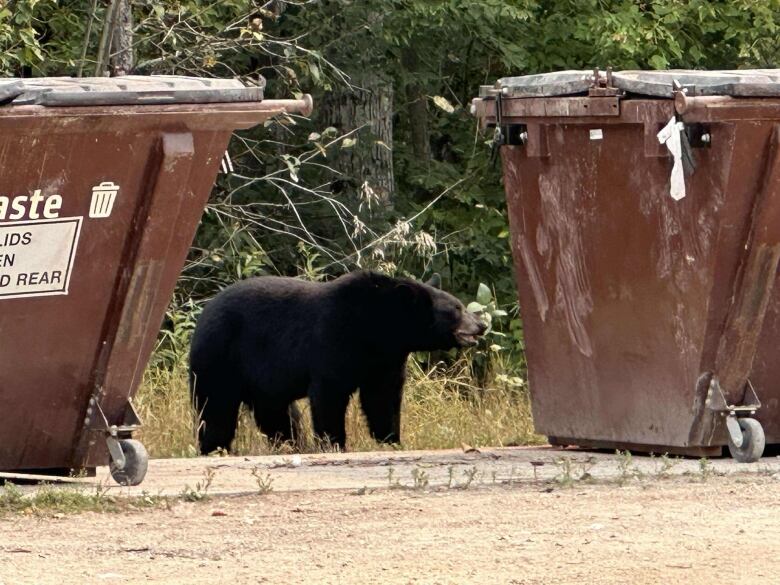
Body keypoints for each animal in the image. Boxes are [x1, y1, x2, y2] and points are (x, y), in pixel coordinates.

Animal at [189, 272, 484, 454]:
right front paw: (335, 443)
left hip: (262, 382)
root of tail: (204, 313)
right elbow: (329, 393)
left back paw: (291, 445)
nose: (480, 325)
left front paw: (391, 440)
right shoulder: (335, 338)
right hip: (220, 356)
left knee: (276, 415)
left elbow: (383, 397)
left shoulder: (385, 359)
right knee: (216, 408)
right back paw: (215, 448)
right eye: (456, 309)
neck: (378, 328)